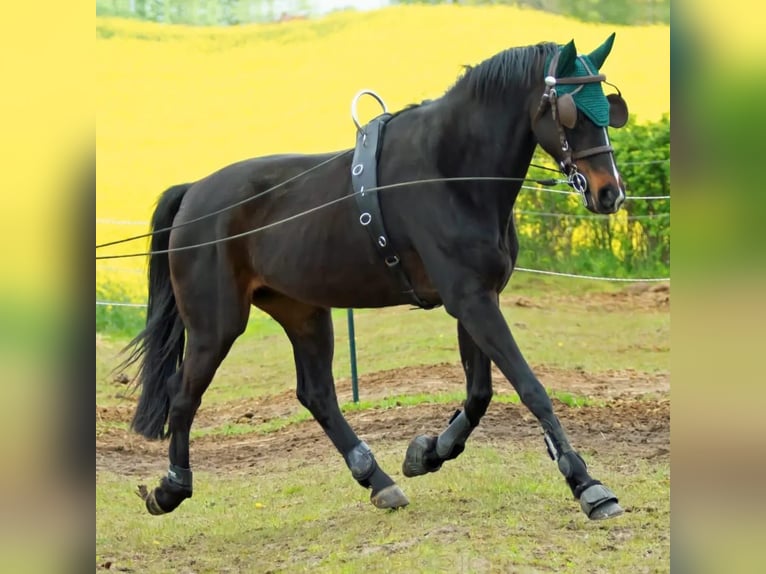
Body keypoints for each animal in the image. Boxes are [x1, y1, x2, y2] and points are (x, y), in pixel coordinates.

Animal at [124, 35, 632, 520]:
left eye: (609, 106)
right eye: (570, 111)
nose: (610, 193)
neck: (451, 172)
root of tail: (194, 192)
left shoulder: (478, 299)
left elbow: (479, 393)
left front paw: (428, 452)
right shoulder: (471, 300)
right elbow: (530, 388)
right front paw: (586, 484)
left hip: (303, 312)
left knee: (317, 395)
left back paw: (376, 478)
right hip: (217, 325)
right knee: (182, 395)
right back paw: (171, 488)